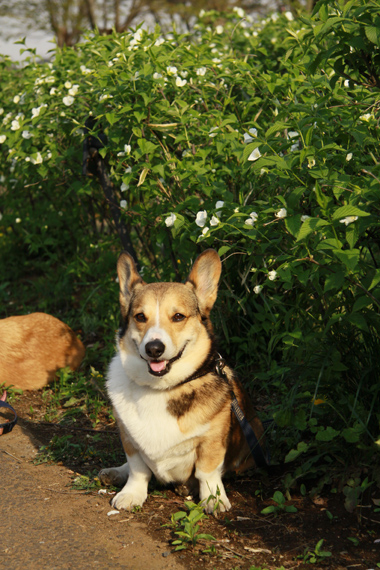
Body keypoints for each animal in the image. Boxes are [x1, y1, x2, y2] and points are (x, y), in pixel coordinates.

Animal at [99, 247, 262, 510]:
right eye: (140, 317)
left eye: (177, 316)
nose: (154, 348)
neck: (160, 388)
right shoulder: (129, 439)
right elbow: (137, 470)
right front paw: (131, 493)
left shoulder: (211, 441)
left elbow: (207, 472)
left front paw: (214, 499)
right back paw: (115, 472)